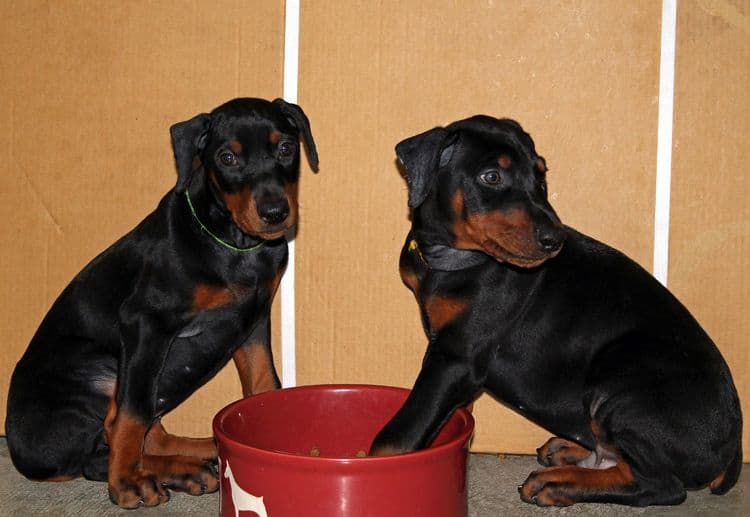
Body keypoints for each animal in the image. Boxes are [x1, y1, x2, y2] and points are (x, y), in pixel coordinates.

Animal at [6, 97, 318, 508]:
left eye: (285, 148)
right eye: (227, 158)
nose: (274, 213)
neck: (231, 241)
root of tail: (18, 448)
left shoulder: (252, 322)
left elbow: (264, 381)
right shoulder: (146, 322)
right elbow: (132, 414)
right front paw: (125, 483)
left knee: (144, 435)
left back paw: (199, 455)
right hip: (102, 364)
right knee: (107, 441)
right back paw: (155, 473)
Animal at [374, 115, 744, 506]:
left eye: (540, 177)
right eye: (492, 176)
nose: (555, 239)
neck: (454, 257)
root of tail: (734, 448)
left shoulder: (455, 357)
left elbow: (398, 434)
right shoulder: (454, 357)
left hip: (620, 375)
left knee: (660, 485)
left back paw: (556, 483)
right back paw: (568, 452)